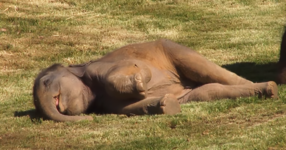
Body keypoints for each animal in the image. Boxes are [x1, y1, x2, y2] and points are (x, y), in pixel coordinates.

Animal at [32, 39, 278, 122]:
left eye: (46, 82)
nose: (89, 120)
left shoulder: (100, 67)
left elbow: (127, 70)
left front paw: (142, 81)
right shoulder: (105, 104)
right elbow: (130, 107)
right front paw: (165, 104)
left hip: (172, 49)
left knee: (207, 71)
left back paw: (269, 88)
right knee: (208, 91)